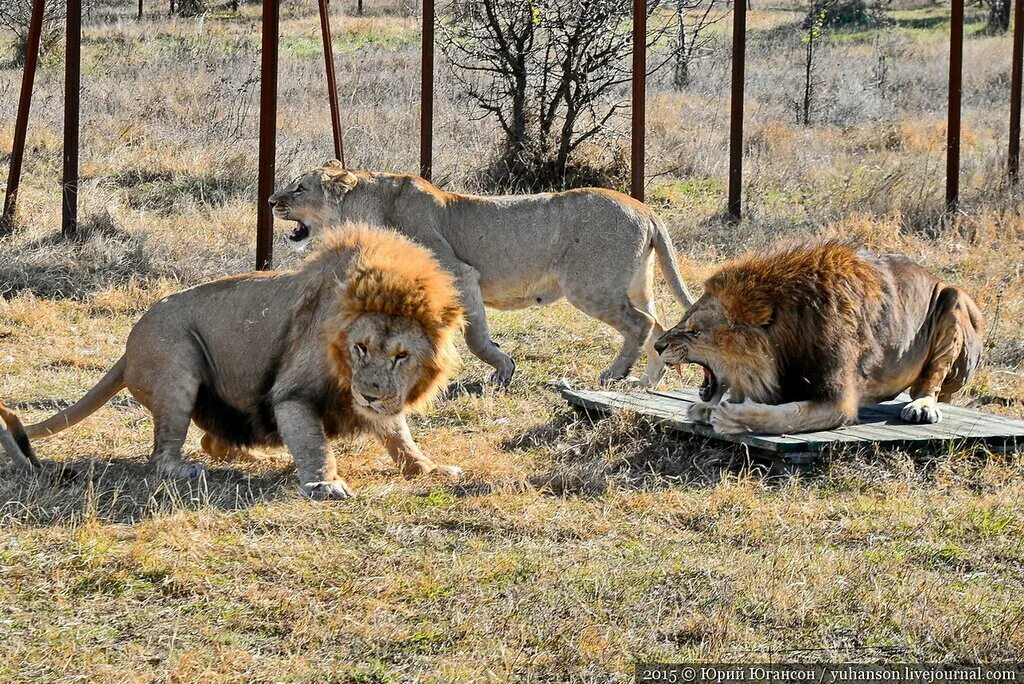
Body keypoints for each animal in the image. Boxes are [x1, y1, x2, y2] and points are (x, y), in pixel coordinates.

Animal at [0, 224, 464, 497]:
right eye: (361, 348)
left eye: (401, 356)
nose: (368, 396)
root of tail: (126, 348)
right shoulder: (293, 393)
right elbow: (314, 443)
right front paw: (325, 483)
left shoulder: (384, 400)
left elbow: (399, 434)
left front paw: (429, 467)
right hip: (177, 367)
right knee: (161, 457)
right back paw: (190, 471)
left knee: (212, 441)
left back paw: (256, 458)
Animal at [655, 242, 983, 436]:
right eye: (684, 320)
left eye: (695, 330)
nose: (658, 346)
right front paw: (704, 409)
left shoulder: (839, 401)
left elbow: (786, 416)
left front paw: (731, 417)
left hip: (953, 298)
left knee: (932, 381)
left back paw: (922, 406)